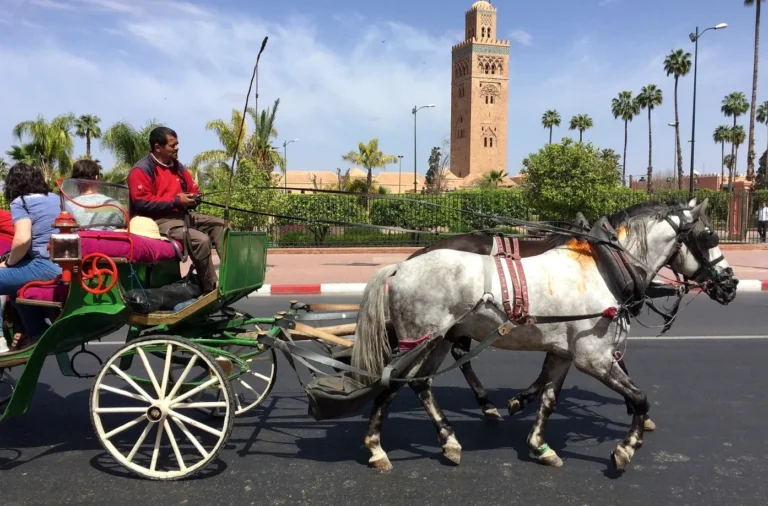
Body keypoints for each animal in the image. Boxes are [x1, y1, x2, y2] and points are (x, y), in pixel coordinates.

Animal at [350, 198, 737, 472]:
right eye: (708, 236)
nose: (730, 284)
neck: (607, 267)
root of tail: (402, 265)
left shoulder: (564, 353)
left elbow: (550, 399)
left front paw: (539, 443)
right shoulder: (593, 357)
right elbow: (640, 396)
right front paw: (626, 448)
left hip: (437, 341)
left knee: (420, 383)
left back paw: (450, 439)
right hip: (421, 341)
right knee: (393, 383)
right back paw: (376, 448)